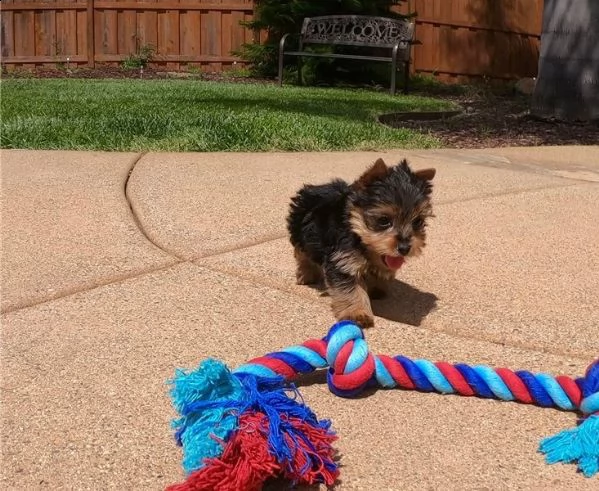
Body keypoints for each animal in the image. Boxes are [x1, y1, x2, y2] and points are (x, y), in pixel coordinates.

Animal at [288, 160, 436, 328]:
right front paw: (358, 313)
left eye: (417, 222)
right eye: (384, 220)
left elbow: (380, 269)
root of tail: (316, 187)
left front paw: (377, 287)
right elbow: (351, 289)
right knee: (302, 252)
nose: (405, 248)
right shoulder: (344, 260)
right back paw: (306, 273)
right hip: (300, 229)